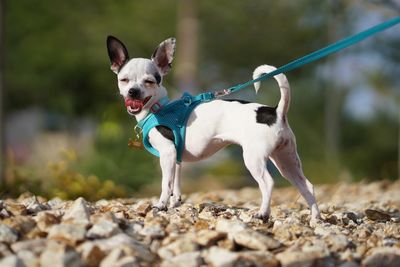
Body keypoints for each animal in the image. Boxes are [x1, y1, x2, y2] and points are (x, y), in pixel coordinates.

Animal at [106, 35, 322, 224]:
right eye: (124, 80)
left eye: (150, 81)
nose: (133, 91)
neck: (158, 108)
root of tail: (275, 111)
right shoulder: (176, 158)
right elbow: (175, 183)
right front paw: (175, 203)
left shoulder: (167, 154)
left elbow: (165, 184)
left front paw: (161, 205)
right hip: (286, 161)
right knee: (307, 186)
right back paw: (316, 218)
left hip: (254, 159)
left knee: (268, 183)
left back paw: (263, 213)